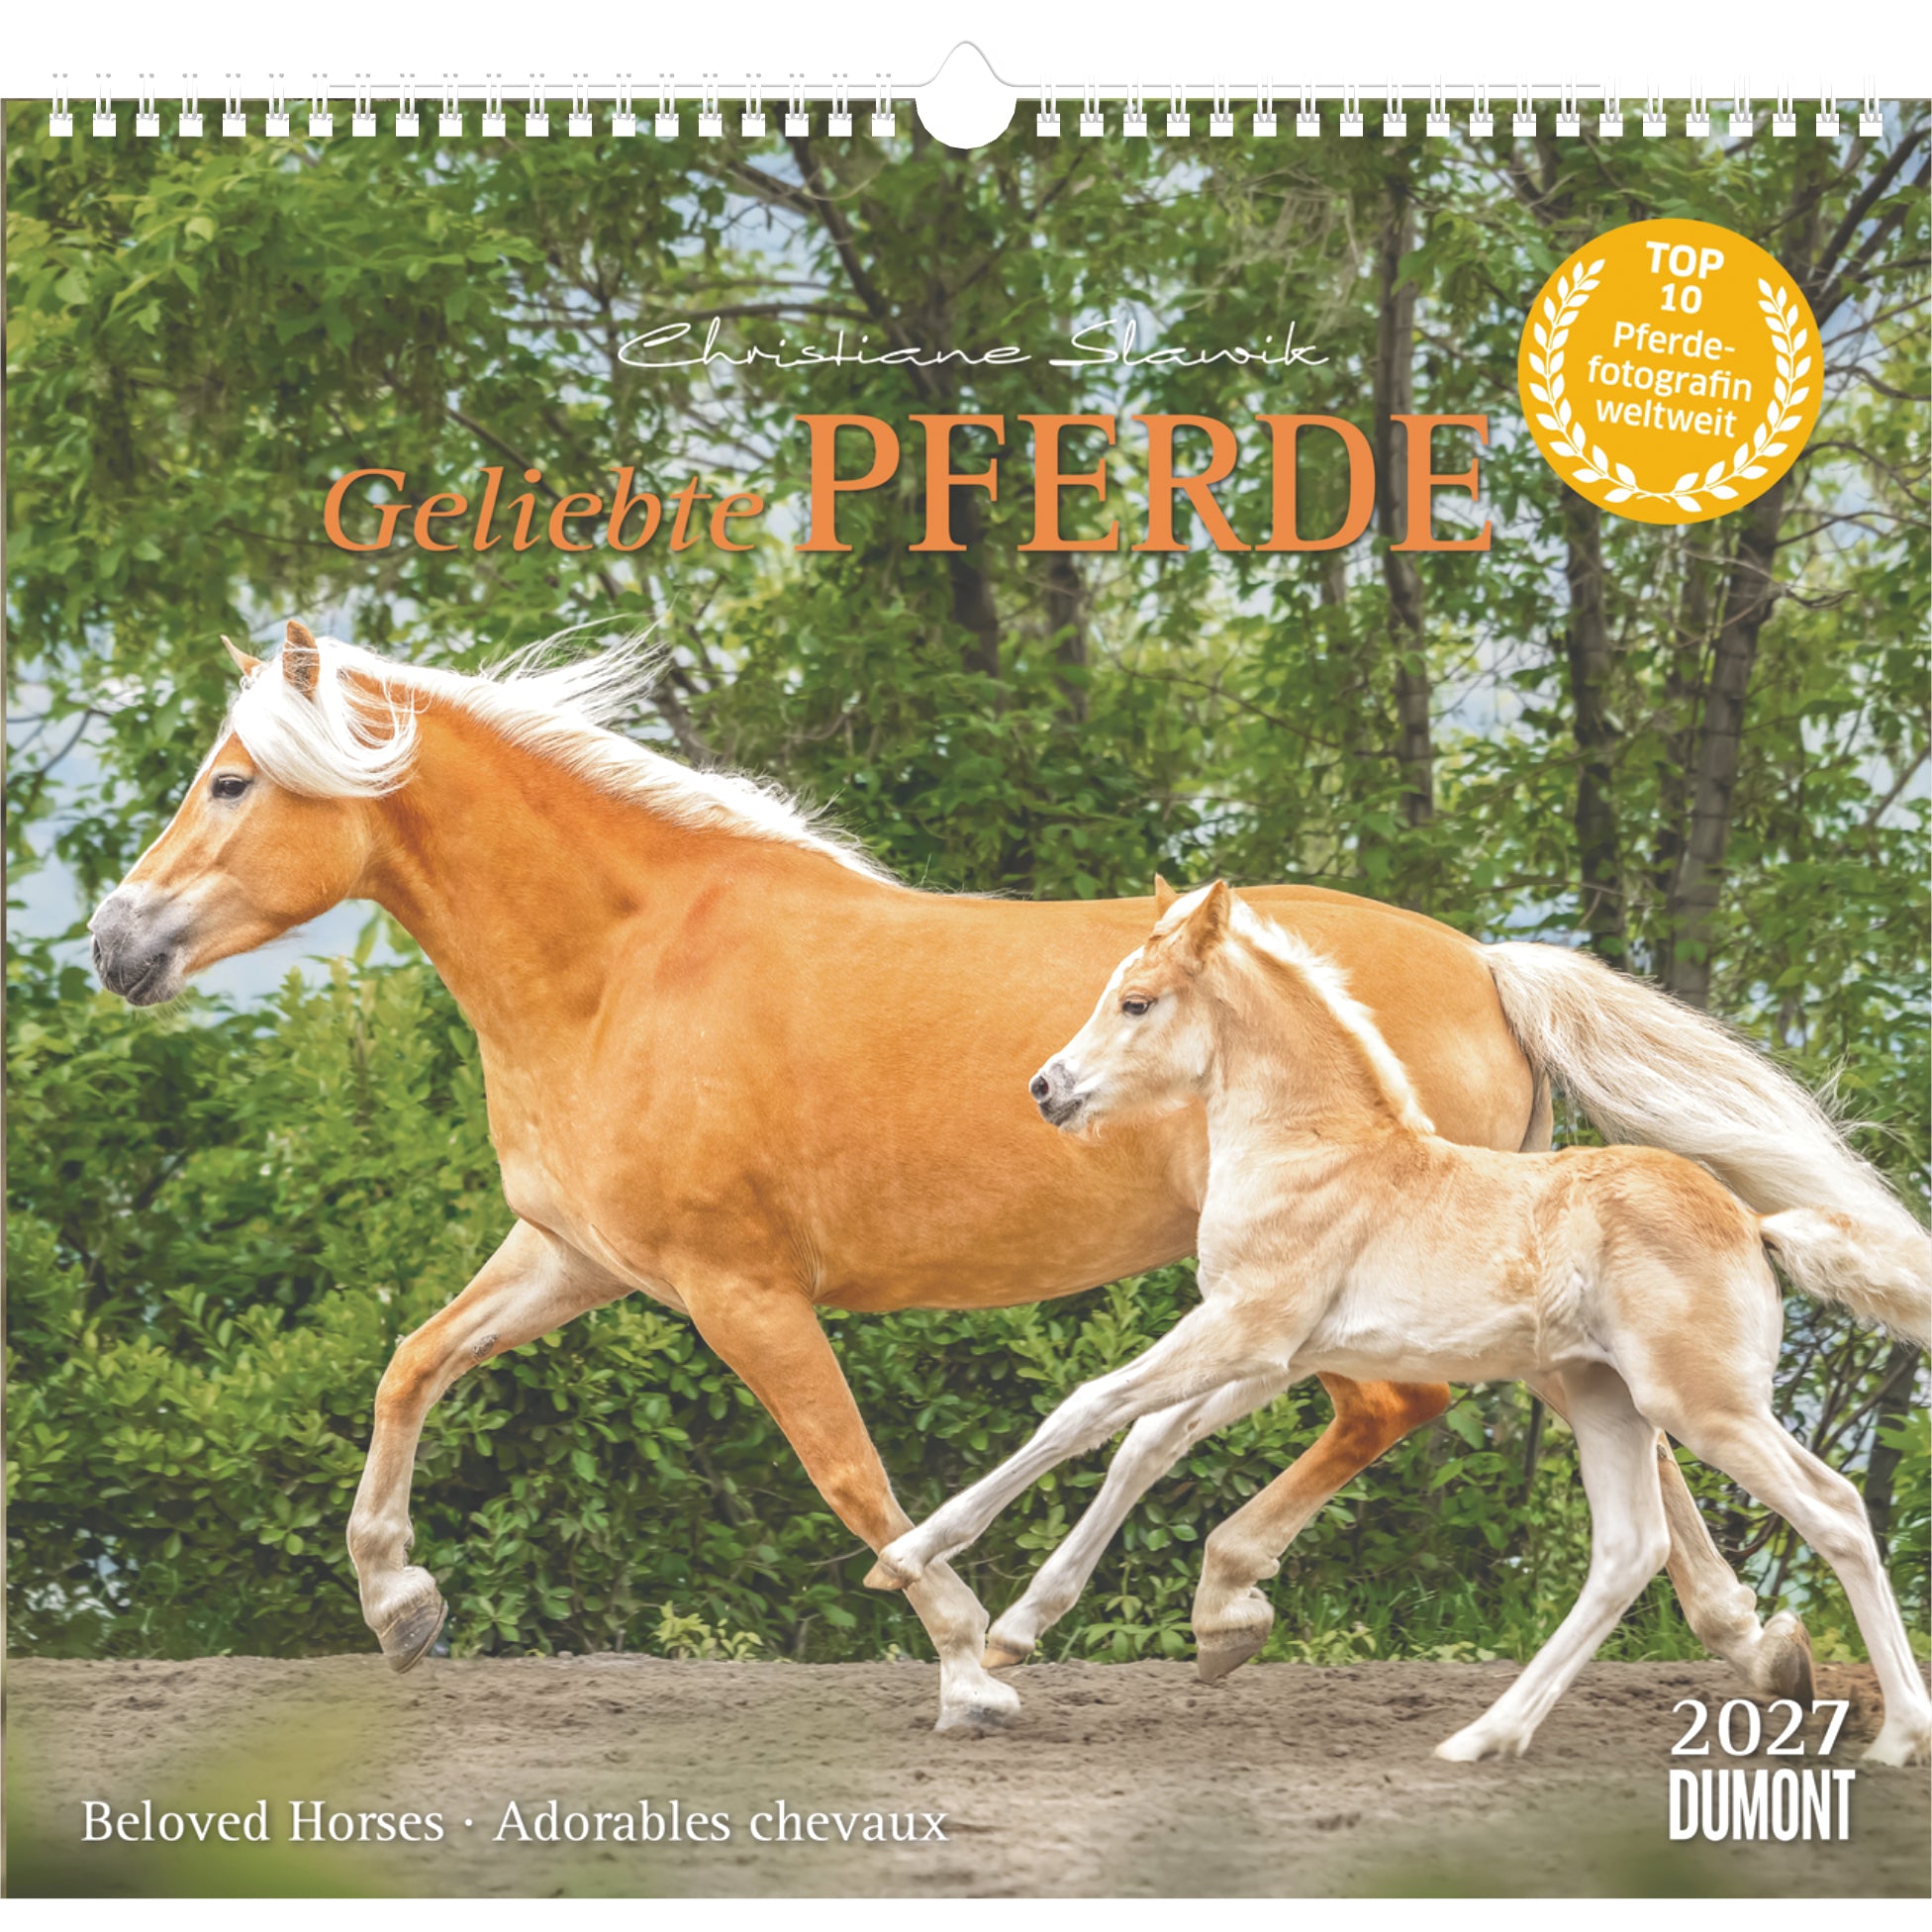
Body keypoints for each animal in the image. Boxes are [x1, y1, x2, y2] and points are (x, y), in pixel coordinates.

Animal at [867, 881, 1932, 1763]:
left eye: (1136, 1001)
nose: (1047, 1089)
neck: (1316, 1149)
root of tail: (1752, 1224)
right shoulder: (1273, 1355)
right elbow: (1144, 1437)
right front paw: (1027, 1626)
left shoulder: (1243, 1329)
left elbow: (1085, 1408)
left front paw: (910, 1558)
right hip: (1606, 1400)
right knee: (1629, 1549)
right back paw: (1485, 1736)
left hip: (1703, 1404)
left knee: (1833, 1510)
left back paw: (1896, 1736)